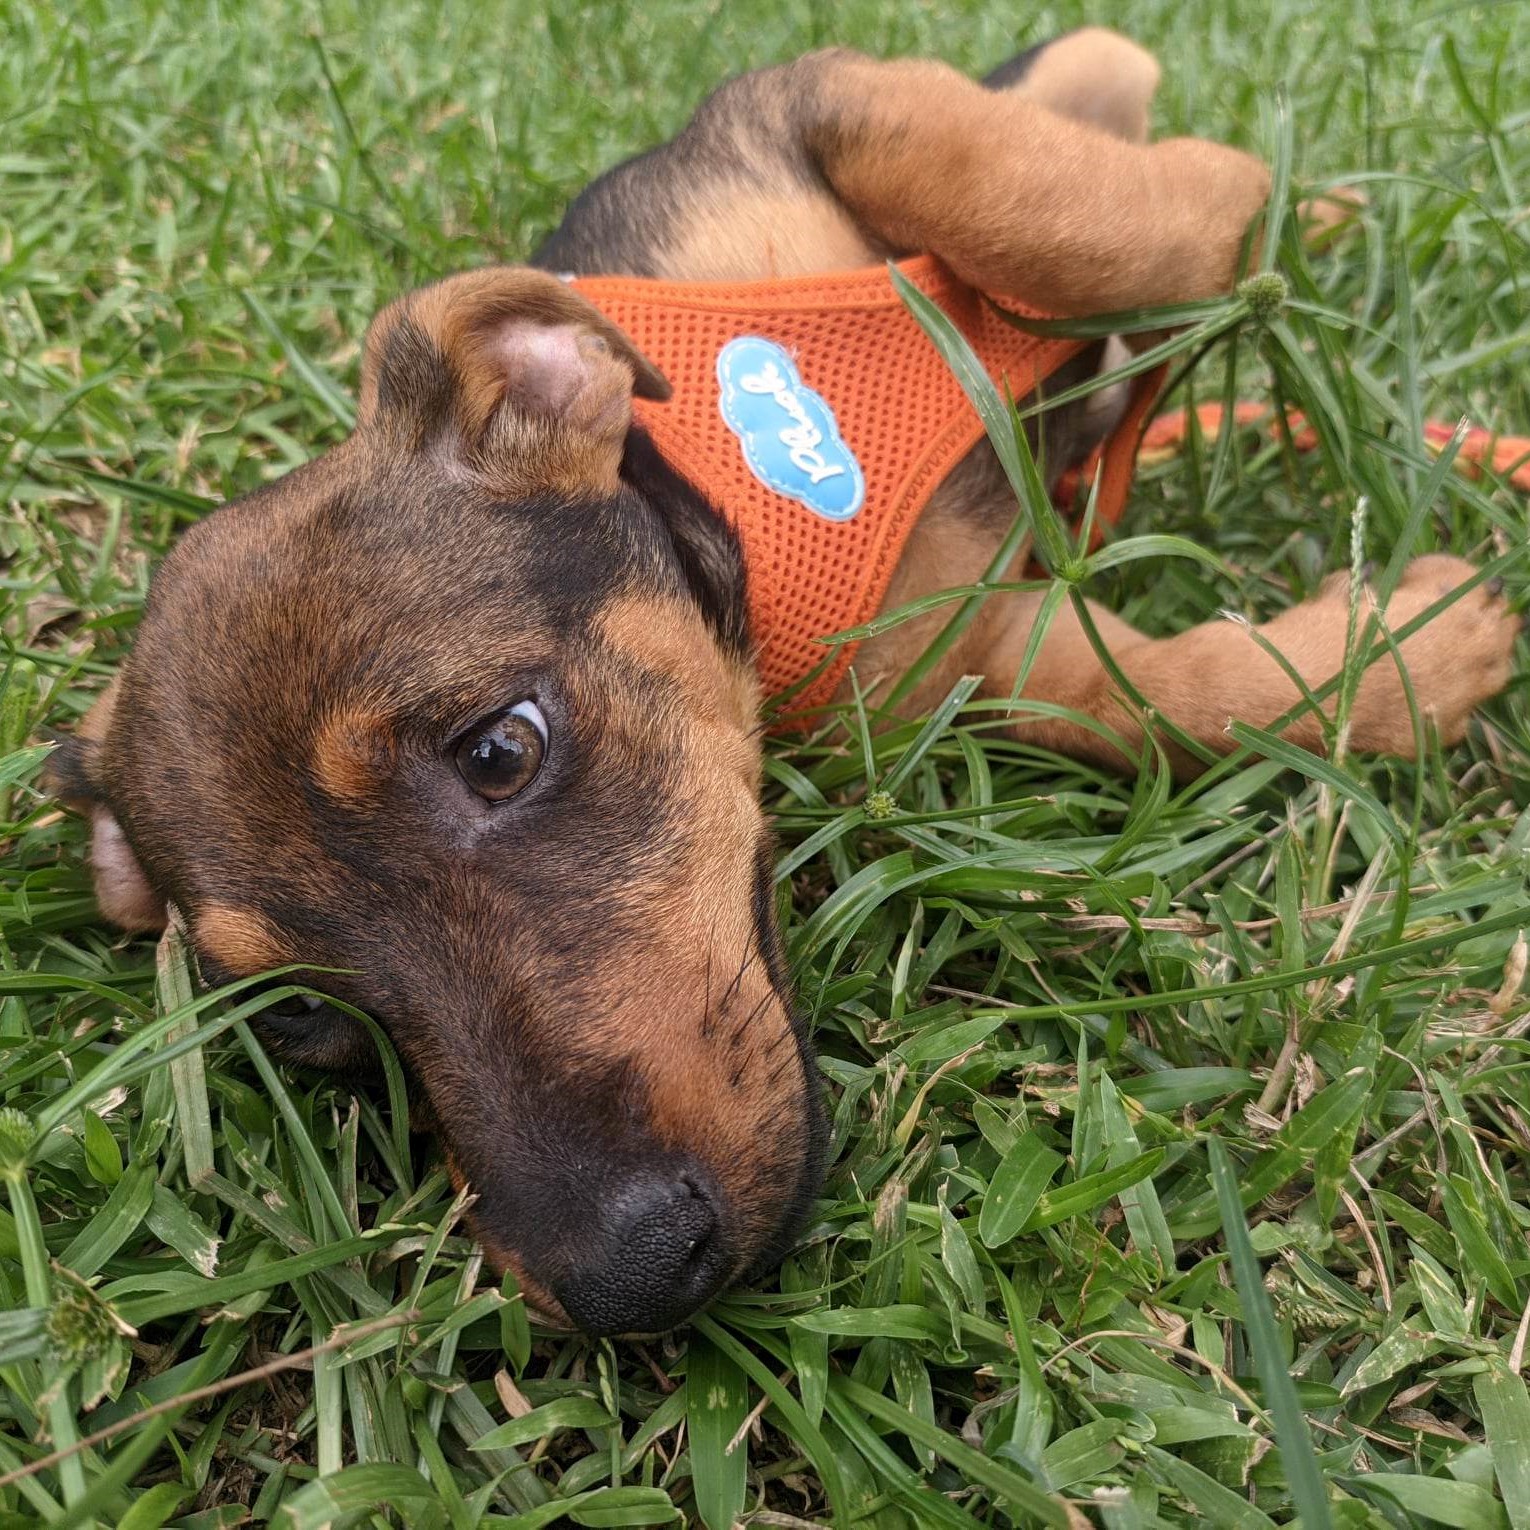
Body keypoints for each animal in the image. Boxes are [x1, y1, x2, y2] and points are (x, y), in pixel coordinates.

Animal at [47, 29, 1517, 1334]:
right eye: (302, 1017)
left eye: (498, 751)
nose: (629, 1282)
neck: (738, 499)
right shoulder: (986, 652)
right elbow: (1169, 696)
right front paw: (1420, 647)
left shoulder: (814, 97)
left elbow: (1043, 206)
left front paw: (1225, 214)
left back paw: (1291, 217)